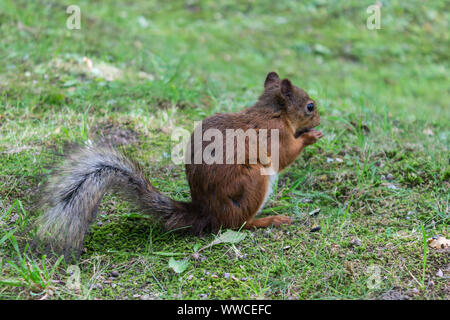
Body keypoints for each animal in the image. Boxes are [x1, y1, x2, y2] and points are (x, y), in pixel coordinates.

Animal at [37, 72, 322, 258]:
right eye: (310, 106)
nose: (320, 120)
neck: (273, 112)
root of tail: (207, 212)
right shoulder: (277, 136)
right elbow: (287, 155)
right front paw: (311, 137)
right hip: (254, 182)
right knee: (237, 225)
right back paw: (269, 219)